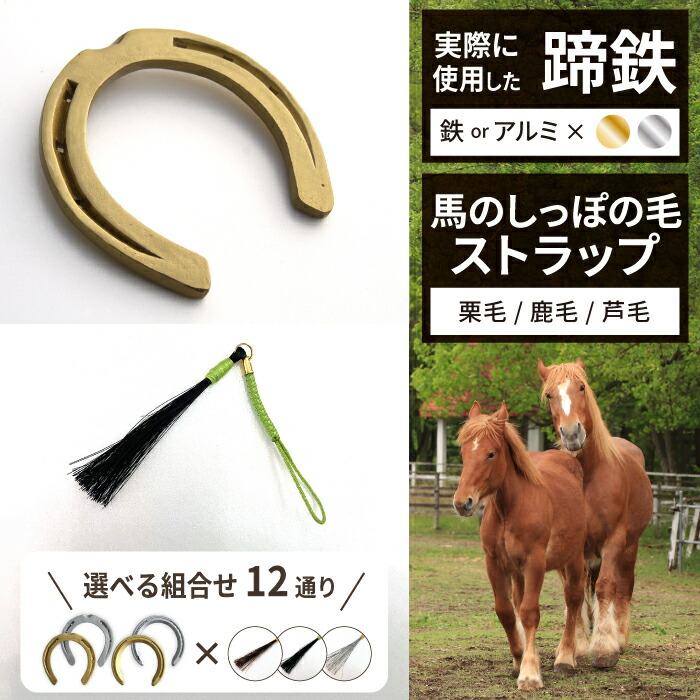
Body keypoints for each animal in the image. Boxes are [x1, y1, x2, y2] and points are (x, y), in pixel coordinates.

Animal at [453, 401, 586, 690]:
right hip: (518, 572)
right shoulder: (494, 563)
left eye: (491, 454)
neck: (510, 509)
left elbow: (529, 612)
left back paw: (565, 658)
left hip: (574, 558)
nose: (462, 503)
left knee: (573, 599)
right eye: (464, 452)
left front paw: (530, 673)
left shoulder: (535, 563)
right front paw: (519, 659)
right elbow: (505, 611)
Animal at [538, 358, 652, 669]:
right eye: (549, 395)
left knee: (624, 586)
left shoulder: (614, 540)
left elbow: (605, 587)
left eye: (581, 387)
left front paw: (603, 647)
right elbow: (574, 592)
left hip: (630, 547)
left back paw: (620, 637)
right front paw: (576, 644)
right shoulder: (572, 545)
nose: (572, 434)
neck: (587, 475)